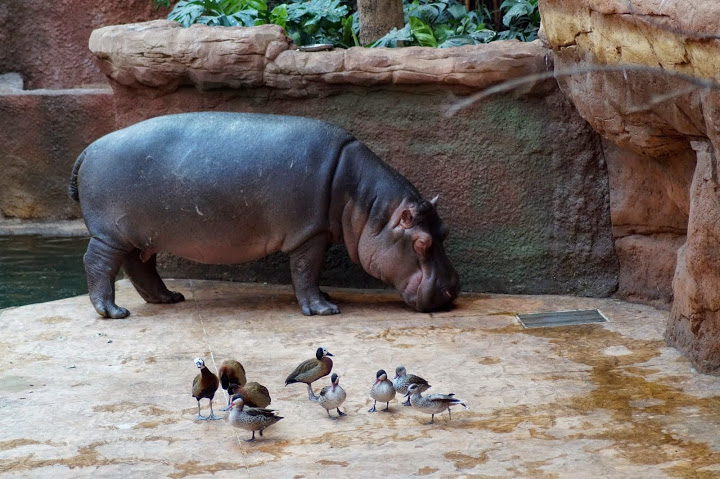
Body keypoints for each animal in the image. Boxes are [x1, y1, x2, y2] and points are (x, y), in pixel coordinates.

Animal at [68, 112, 459, 318]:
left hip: (137, 233)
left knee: (139, 266)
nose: (452, 288)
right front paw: (323, 309)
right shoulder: (309, 234)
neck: (367, 203)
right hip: (109, 233)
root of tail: (87, 149)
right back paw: (113, 312)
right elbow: (305, 271)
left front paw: (326, 299)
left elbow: (308, 274)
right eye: (422, 243)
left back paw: (168, 298)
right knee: (97, 263)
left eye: (445, 231)